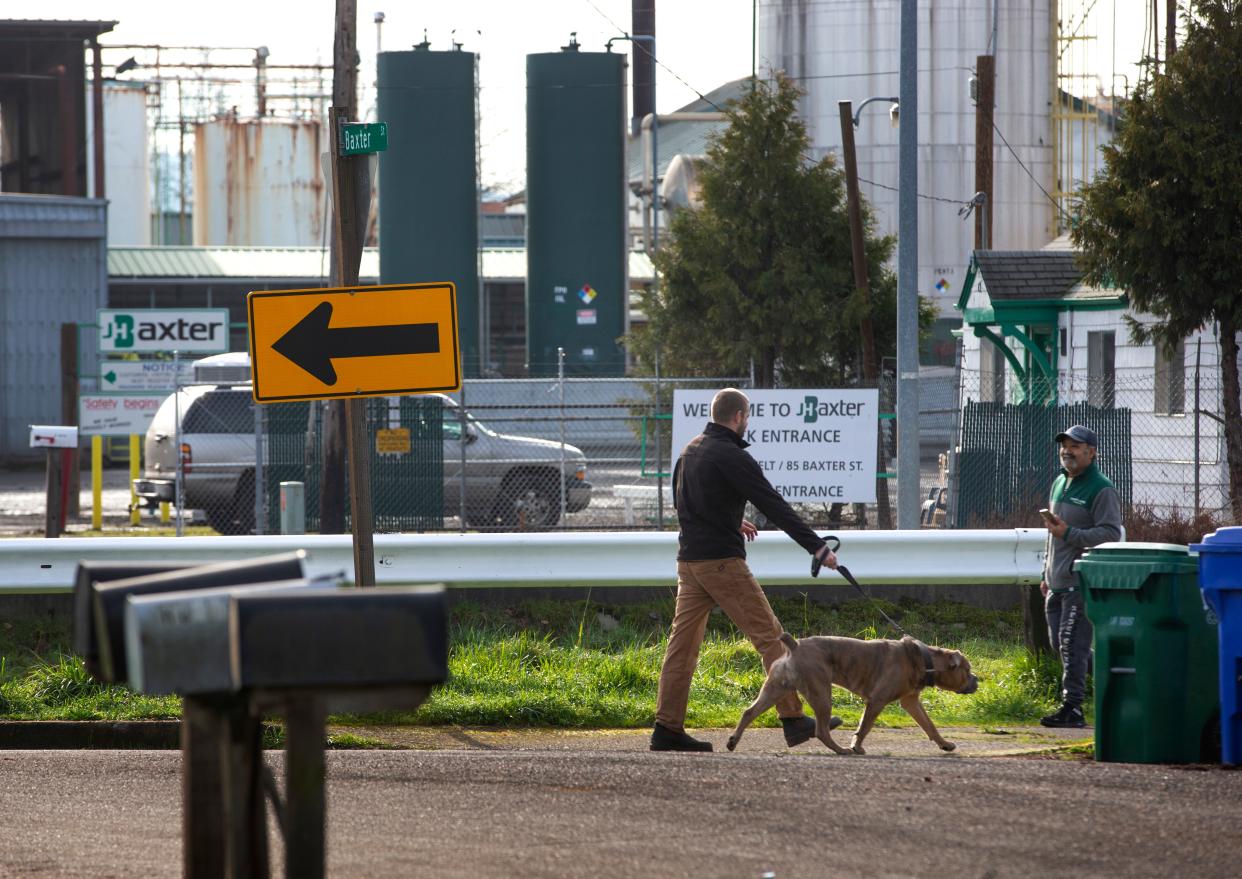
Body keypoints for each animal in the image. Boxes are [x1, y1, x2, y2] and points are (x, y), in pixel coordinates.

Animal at [725, 630, 978, 754]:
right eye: (967, 669)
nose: (977, 680)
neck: (926, 660)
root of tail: (794, 646)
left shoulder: (911, 701)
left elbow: (929, 725)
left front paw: (945, 744)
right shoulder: (877, 700)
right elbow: (864, 727)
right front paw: (857, 746)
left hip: (776, 688)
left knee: (749, 712)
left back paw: (732, 742)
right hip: (821, 693)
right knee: (821, 730)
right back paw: (841, 750)